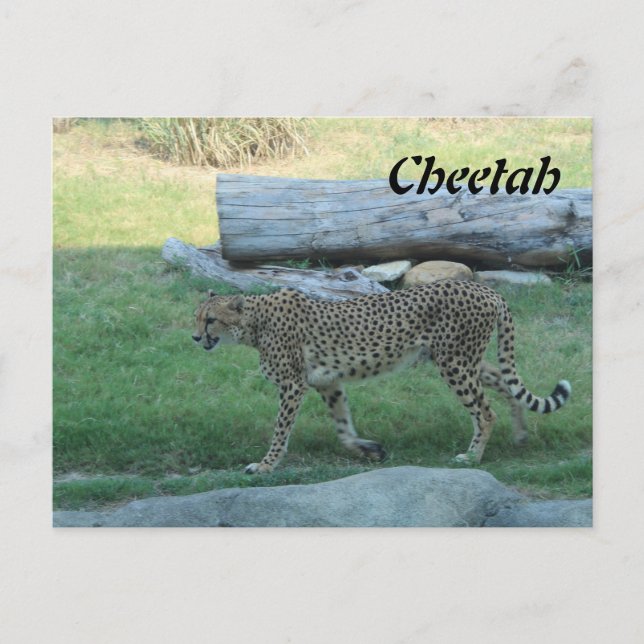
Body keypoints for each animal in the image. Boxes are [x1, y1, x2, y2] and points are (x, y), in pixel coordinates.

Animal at [192, 280, 571, 473]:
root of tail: (483, 287)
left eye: (210, 320)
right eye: (196, 317)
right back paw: (520, 434)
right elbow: (343, 426)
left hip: (454, 362)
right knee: (504, 382)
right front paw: (368, 450)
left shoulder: (293, 385)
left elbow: (280, 430)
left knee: (485, 411)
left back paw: (473, 457)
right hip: (462, 359)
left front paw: (266, 465)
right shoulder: (328, 382)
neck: (255, 323)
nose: (195, 338)